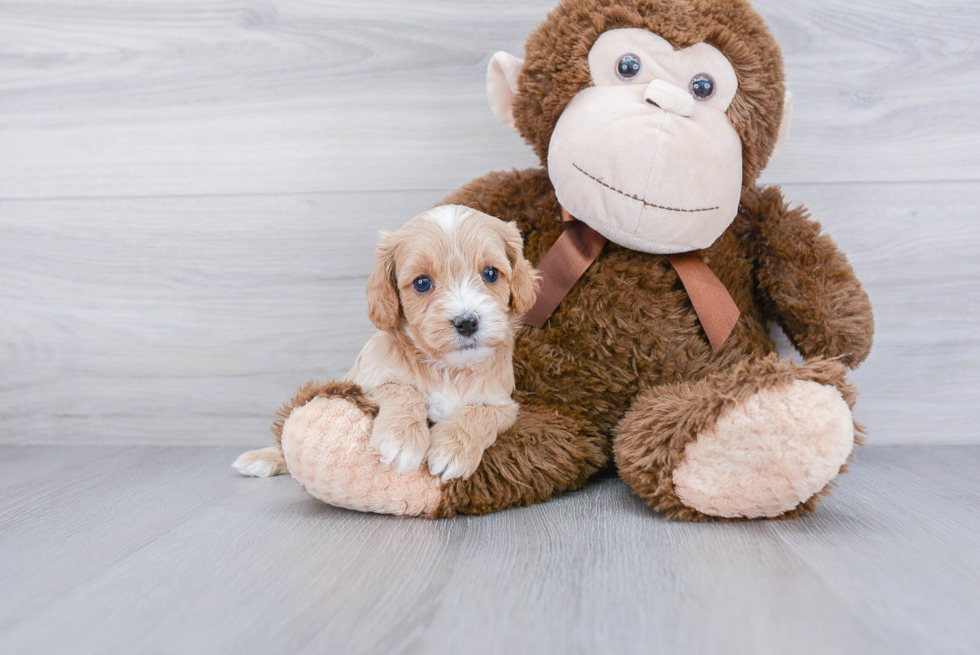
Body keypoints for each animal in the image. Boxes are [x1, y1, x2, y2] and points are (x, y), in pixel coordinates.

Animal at [234, 205, 540, 482]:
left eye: (491, 274)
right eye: (422, 283)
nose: (466, 322)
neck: (447, 370)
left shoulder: (503, 404)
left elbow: (478, 412)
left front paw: (452, 450)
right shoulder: (366, 382)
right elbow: (403, 390)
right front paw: (402, 439)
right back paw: (262, 458)